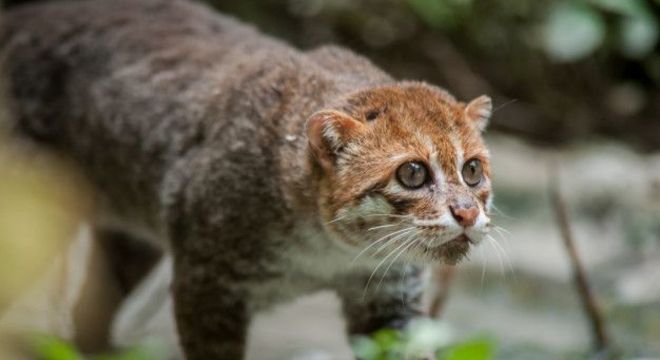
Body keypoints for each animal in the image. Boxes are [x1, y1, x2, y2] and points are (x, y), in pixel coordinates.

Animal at [0, 0, 492, 358]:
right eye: (412, 173)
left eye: (472, 170)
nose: (468, 214)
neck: (326, 253)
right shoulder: (207, 287)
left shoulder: (390, 300)